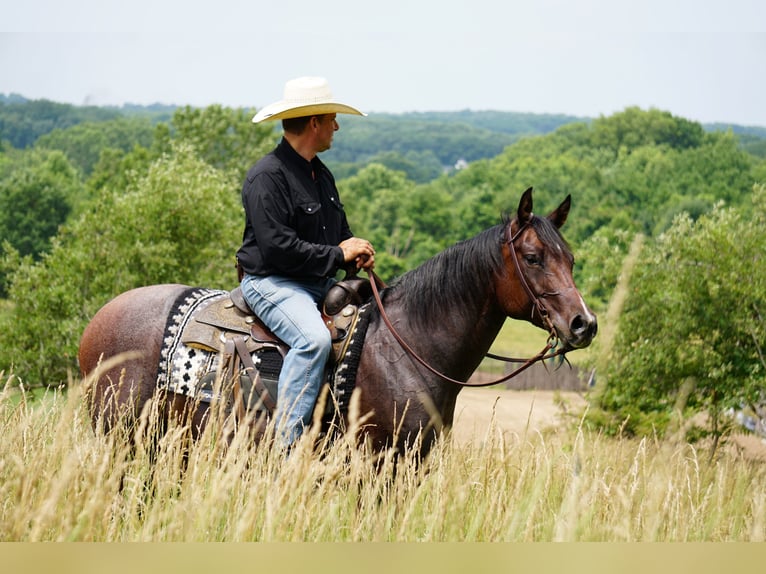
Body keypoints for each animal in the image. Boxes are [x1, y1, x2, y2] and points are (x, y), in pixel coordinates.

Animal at [78, 188, 597, 456]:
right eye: (532, 257)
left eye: (571, 259)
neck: (408, 348)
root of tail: (98, 320)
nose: (583, 324)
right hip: (122, 440)